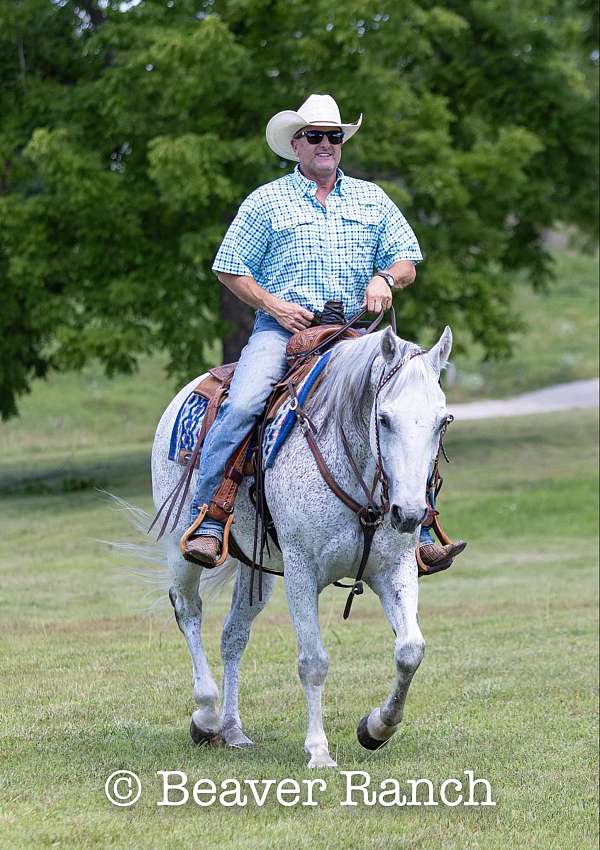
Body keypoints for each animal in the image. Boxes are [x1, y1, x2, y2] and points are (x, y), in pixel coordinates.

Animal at [152, 324, 452, 768]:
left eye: (442, 421)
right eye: (384, 418)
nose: (411, 513)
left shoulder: (395, 570)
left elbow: (410, 650)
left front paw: (376, 728)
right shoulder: (300, 572)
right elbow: (313, 661)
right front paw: (319, 750)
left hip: (256, 569)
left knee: (233, 635)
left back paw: (232, 729)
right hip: (181, 549)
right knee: (188, 611)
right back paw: (205, 716)